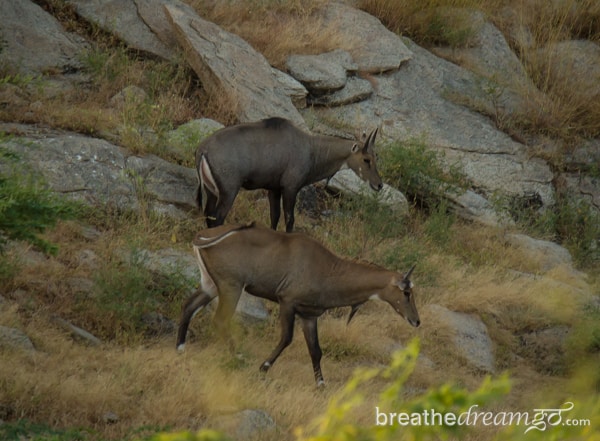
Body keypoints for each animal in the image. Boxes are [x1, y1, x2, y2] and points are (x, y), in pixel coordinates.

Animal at [195, 117, 382, 234]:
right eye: (366, 159)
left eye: (376, 156)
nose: (379, 184)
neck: (312, 150)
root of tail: (203, 150)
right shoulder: (291, 188)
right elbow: (290, 219)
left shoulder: (274, 189)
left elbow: (274, 217)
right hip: (229, 191)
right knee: (217, 217)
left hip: (211, 191)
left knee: (208, 215)